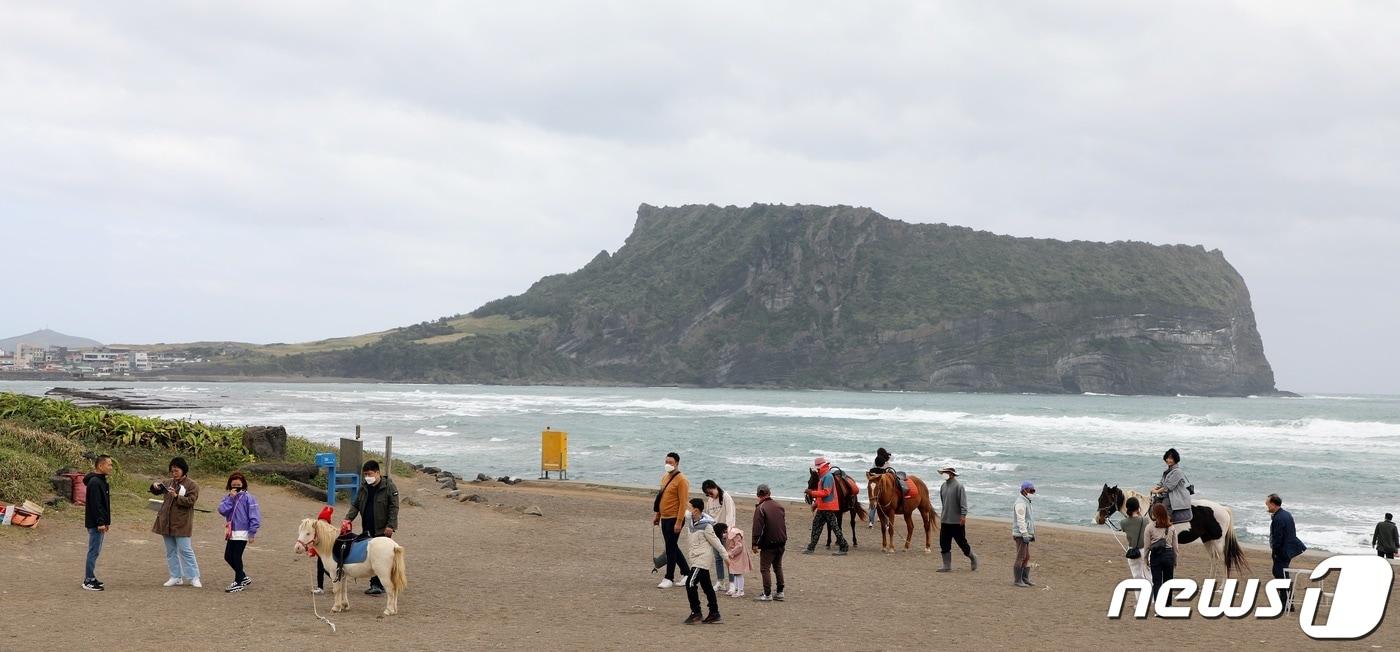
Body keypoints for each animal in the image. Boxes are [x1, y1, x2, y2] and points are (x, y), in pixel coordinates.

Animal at [1092, 484, 1248, 582]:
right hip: (1207, 540)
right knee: (1214, 560)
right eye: (1099, 499)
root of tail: (1223, 509)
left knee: (1223, 560)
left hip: (1218, 541)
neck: (1144, 511)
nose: (1098, 518)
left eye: (1105, 499)